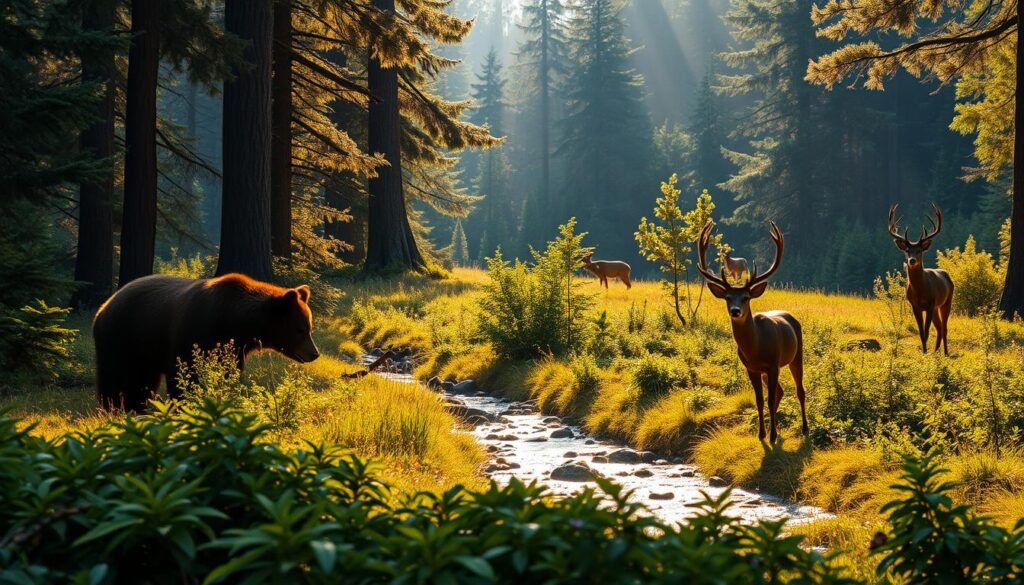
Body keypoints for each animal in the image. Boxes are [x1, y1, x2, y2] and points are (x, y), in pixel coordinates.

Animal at [93, 273, 320, 411]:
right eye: (301, 330)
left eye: (310, 328)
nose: (314, 353)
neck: (235, 322)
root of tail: (103, 307)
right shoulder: (194, 332)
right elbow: (184, 374)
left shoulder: (233, 350)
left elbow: (225, 375)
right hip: (122, 338)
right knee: (114, 376)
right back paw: (113, 407)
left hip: (144, 351)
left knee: (143, 382)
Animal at [696, 221, 808, 443]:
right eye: (728, 297)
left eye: (746, 297)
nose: (735, 311)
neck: (756, 348)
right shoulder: (751, 368)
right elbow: (760, 400)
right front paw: (763, 434)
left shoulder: (773, 365)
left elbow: (769, 398)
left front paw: (772, 435)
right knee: (781, 391)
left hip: (796, 354)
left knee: (800, 390)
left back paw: (805, 428)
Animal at [887, 204, 954, 355]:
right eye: (907, 250)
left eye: (919, 251)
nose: (911, 260)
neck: (920, 290)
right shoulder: (915, 305)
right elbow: (921, 331)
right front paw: (924, 352)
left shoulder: (930, 303)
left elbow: (927, 330)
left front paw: (926, 352)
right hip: (936, 308)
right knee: (939, 328)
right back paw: (935, 351)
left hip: (946, 302)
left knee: (944, 327)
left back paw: (945, 352)